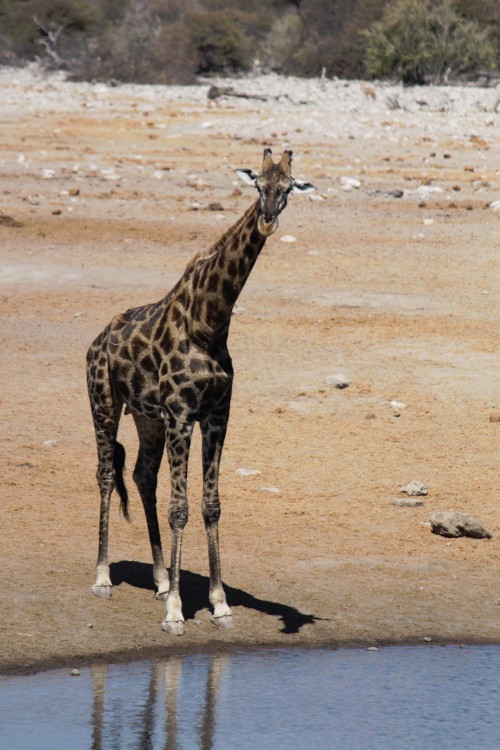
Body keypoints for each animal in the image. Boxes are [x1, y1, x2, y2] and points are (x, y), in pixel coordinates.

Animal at [85, 150, 312, 636]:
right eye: (257, 184)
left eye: (288, 188)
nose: (267, 220)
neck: (210, 322)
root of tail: (96, 341)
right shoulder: (181, 413)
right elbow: (180, 508)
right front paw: (175, 613)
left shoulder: (215, 415)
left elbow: (210, 505)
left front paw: (218, 602)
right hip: (103, 401)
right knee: (107, 474)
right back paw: (103, 577)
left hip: (147, 417)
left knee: (141, 476)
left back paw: (159, 579)